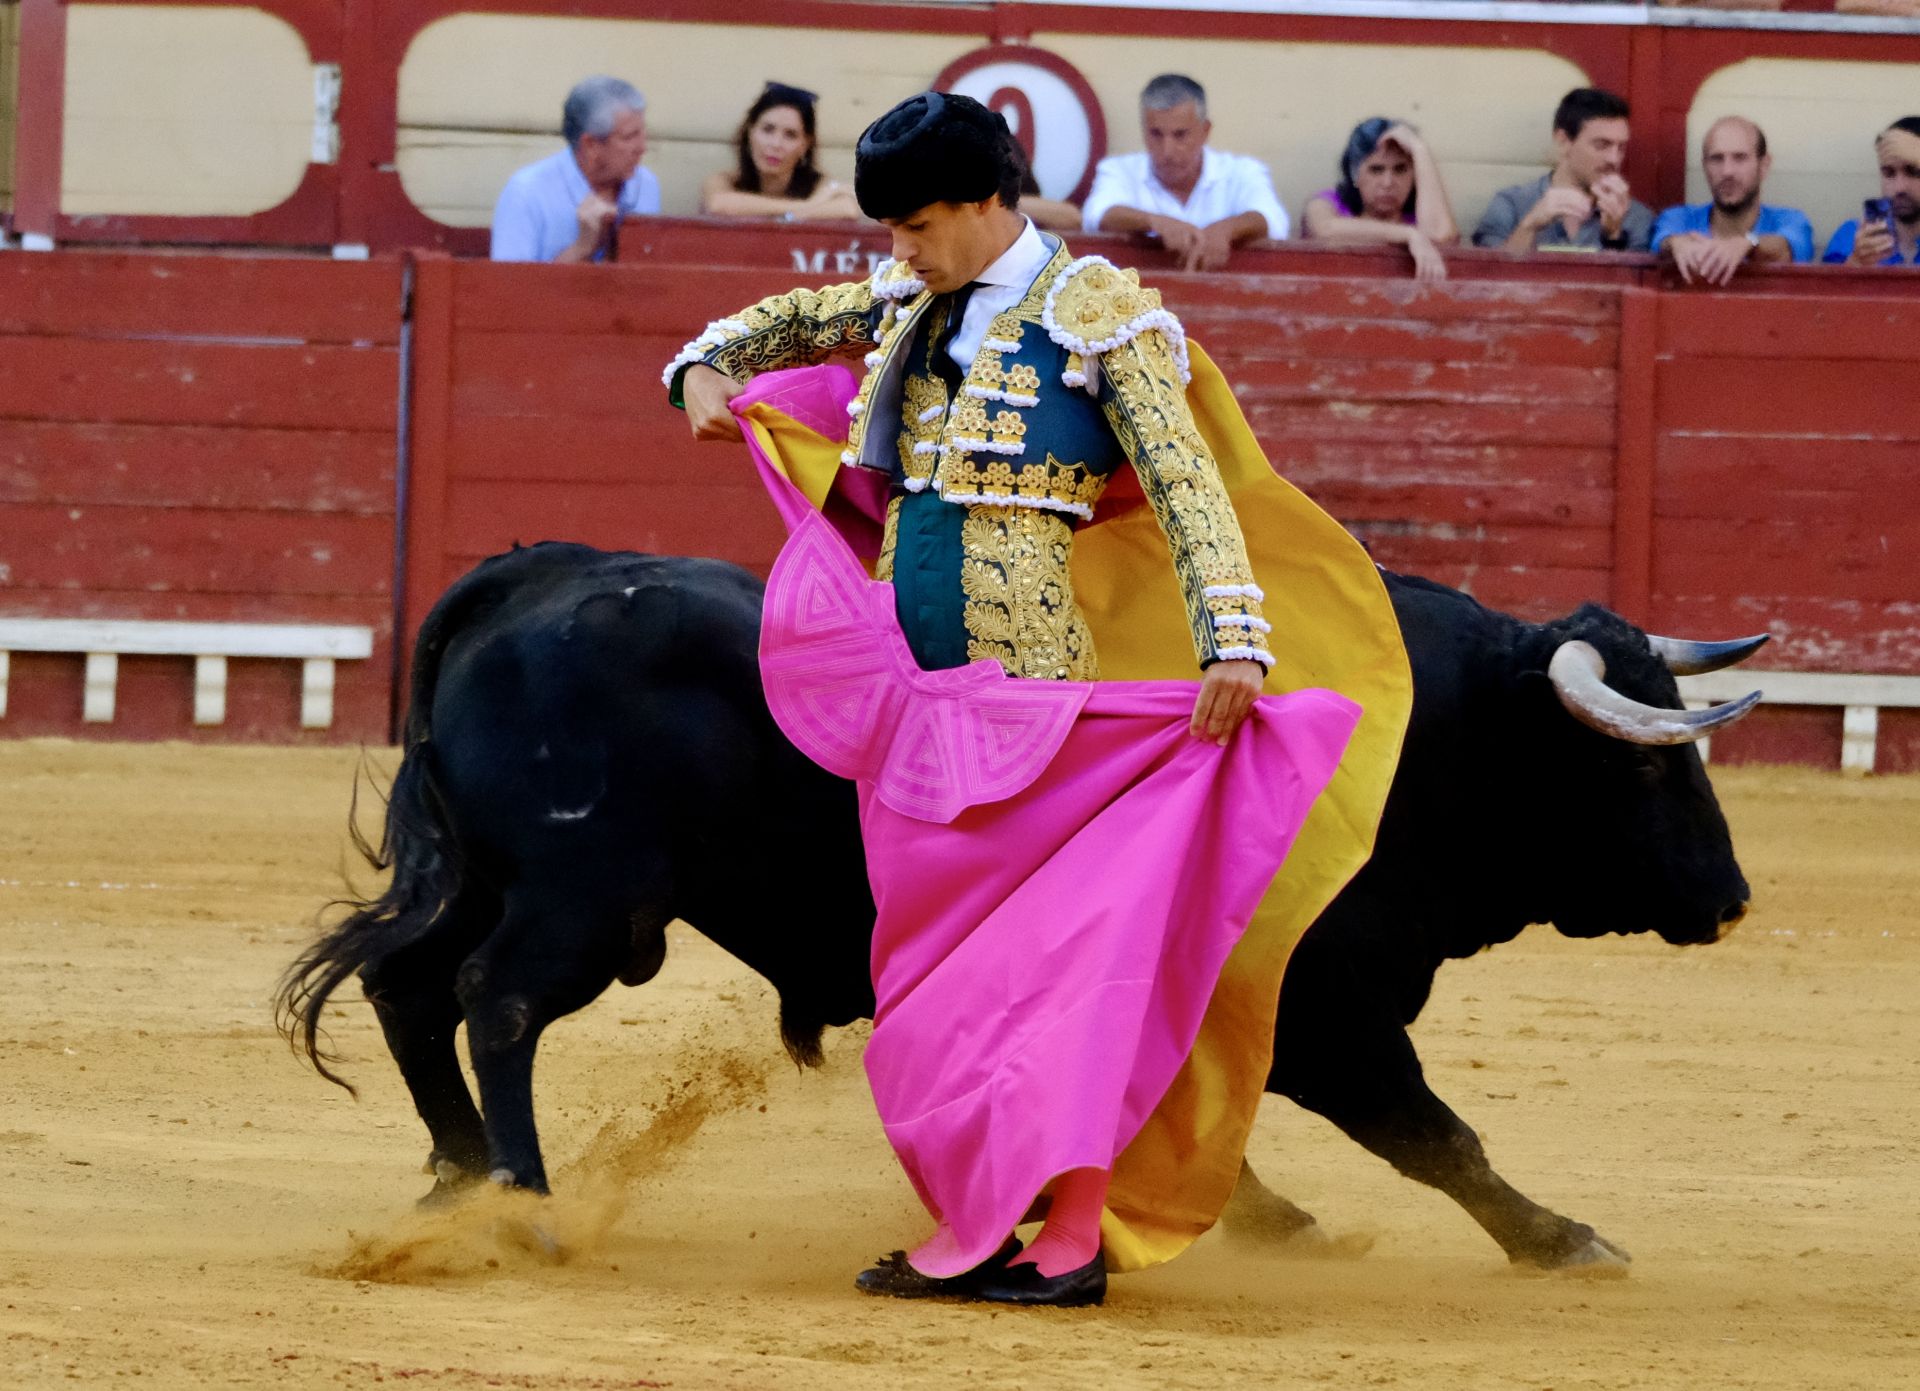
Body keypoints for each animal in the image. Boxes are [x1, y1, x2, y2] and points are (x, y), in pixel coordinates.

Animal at [278, 541, 1758, 1268]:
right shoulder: (1332, 1013)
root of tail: (535, 576)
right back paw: (525, 1200)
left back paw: (459, 1177)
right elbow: (1438, 1133)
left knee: (409, 988)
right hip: (585, 897)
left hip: (490, 876)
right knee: (497, 1000)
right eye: (1643, 758)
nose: (1733, 895)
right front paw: (1563, 1239)